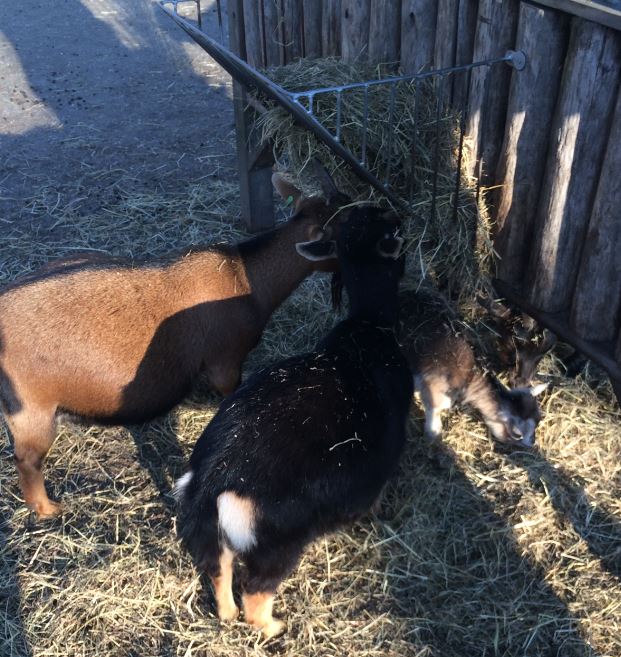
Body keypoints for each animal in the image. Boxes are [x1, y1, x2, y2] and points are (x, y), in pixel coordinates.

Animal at [174, 206, 412, 638]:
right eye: (395, 233)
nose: (398, 213)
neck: (369, 326)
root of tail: (214, 482)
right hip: (279, 542)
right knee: (255, 593)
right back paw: (274, 627)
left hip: (211, 533)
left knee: (219, 574)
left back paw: (227, 613)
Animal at [399, 291, 547, 447]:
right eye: (520, 435)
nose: (532, 442)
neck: (471, 375)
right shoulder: (434, 381)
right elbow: (436, 407)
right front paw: (433, 434)